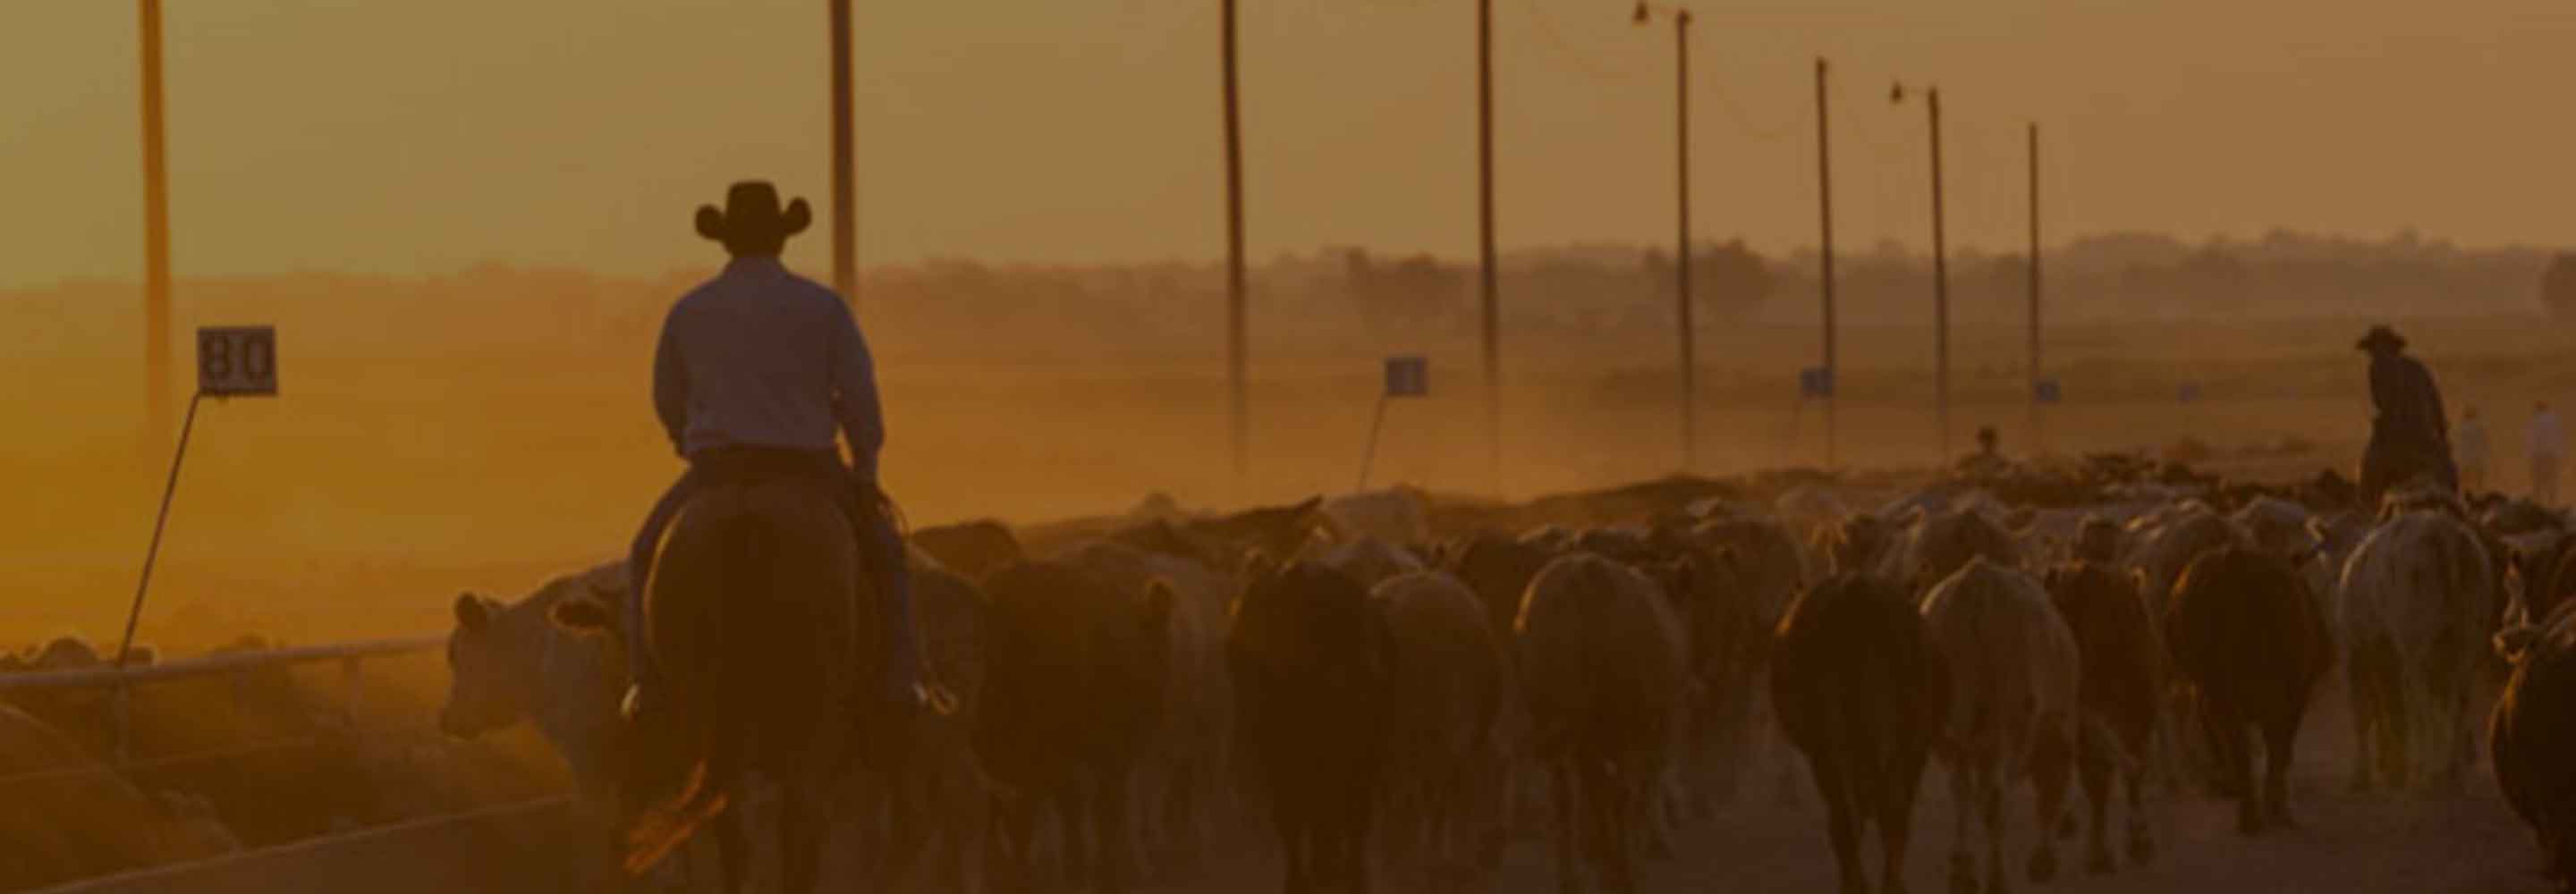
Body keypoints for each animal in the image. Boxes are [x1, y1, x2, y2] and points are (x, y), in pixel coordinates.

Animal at [1917, 558, 2081, 893]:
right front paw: (2043, 860)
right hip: (2007, 726)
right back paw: (1997, 877)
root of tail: (1979, 584)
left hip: (1951, 732)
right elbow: (2050, 789)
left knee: (1963, 790)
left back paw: (1963, 869)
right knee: (1994, 797)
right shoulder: (2056, 729)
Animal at [2166, 545, 2331, 834]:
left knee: (2236, 743)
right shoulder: (2297, 693)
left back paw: (2247, 811)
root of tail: (2235, 562)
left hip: (2218, 688)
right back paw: (2260, 813)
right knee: (2260, 745)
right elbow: (2281, 748)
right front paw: (2277, 807)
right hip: (2258, 690)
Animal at [2339, 510, 2496, 791]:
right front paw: (2393, 769)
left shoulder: (2355, 653)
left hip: (2416, 638)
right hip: (2466, 638)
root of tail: (2444, 531)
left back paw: (2429, 774)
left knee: (2421, 699)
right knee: (2458, 699)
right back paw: (2450, 772)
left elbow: (2364, 713)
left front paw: (2362, 775)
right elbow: (2390, 707)